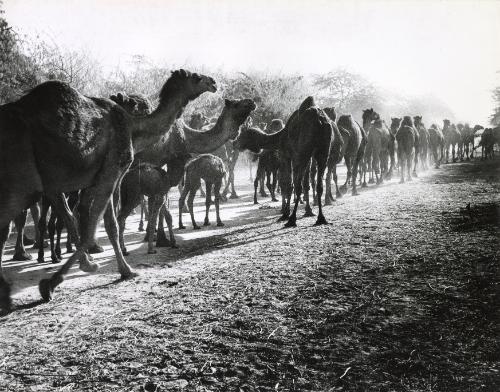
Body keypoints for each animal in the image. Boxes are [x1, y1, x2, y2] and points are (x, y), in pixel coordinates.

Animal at [0, 68, 218, 312]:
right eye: (196, 77)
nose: (213, 82)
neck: (132, 127)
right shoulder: (112, 169)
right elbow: (106, 223)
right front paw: (122, 270)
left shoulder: (89, 179)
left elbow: (87, 216)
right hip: (21, 179)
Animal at [119, 96, 256, 253]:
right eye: (237, 104)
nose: (252, 102)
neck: (184, 135)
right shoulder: (161, 159)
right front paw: (157, 237)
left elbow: (160, 201)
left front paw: (158, 238)